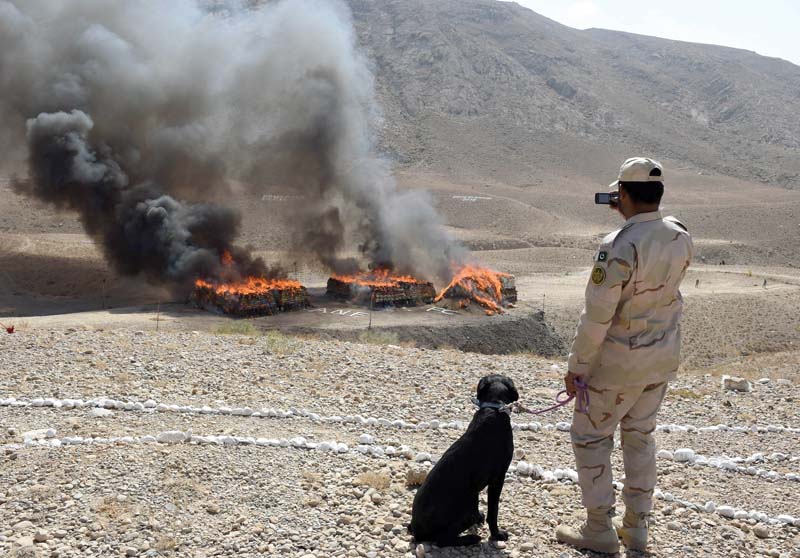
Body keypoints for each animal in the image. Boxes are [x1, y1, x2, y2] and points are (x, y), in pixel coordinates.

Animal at [406, 374, 520, 548]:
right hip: (468, 509)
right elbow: (493, 511)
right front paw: (497, 534)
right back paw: (471, 538)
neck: (493, 407)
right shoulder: (498, 478)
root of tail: (416, 530)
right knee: (442, 540)